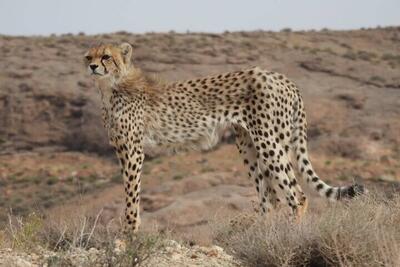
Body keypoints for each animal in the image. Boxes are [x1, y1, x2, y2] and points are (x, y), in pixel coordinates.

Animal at [84, 42, 366, 234]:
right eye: (88, 56)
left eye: (106, 56)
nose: (92, 66)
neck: (111, 87)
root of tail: (283, 78)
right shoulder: (121, 149)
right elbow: (129, 190)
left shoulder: (132, 150)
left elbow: (131, 193)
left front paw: (128, 234)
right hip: (249, 143)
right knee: (270, 197)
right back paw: (260, 234)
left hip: (268, 141)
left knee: (296, 194)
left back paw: (290, 233)